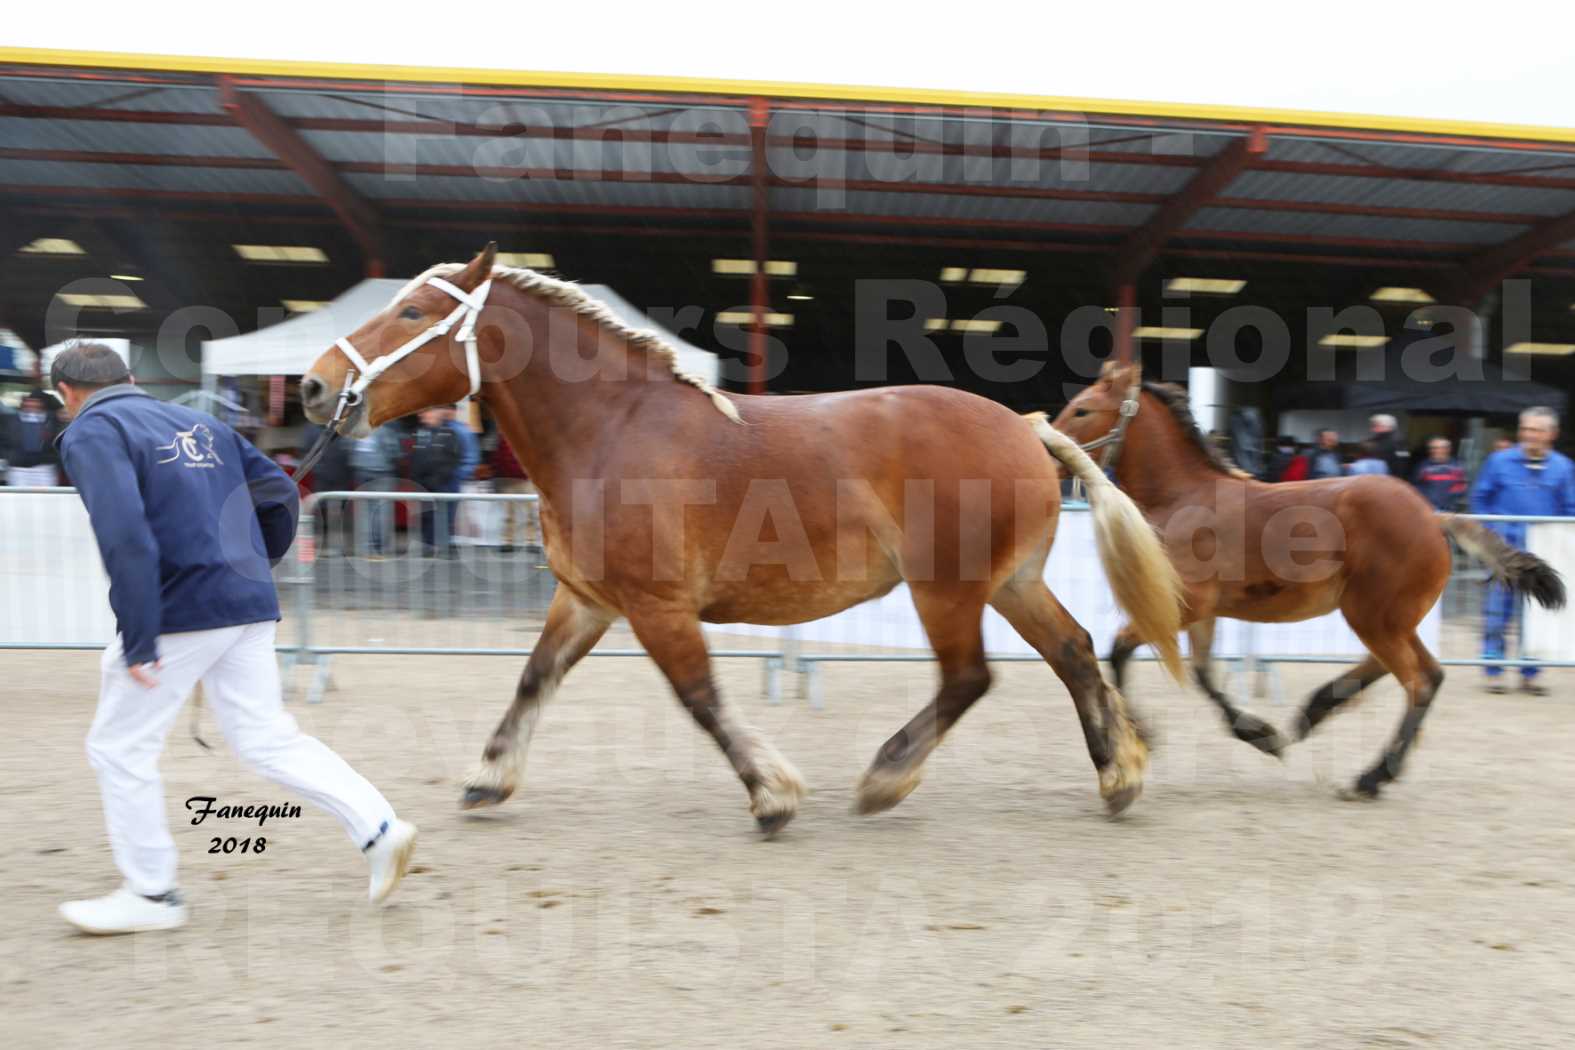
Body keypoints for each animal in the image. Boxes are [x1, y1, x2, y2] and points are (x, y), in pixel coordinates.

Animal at [297, 248, 1184, 837]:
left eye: (413, 313)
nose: (312, 385)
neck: (612, 429)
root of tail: (1026, 428)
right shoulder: (586, 601)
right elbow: (533, 678)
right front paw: (488, 778)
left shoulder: (656, 606)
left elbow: (699, 698)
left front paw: (772, 794)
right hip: (1011, 582)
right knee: (1072, 650)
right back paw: (1118, 775)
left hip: (947, 589)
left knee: (970, 677)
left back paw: (885, 779)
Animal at [1045, 362, 1562, 796]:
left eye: (1083, 409)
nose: (1045, 452)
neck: (1183, 496)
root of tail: (1434, 517)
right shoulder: (1203, 613)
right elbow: (1204, 674)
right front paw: (1262, 734)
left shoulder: (1184, 605)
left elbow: (1121, 651)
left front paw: (1151, 732)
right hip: (1387, 618)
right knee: (1417, 670)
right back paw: (1318, 712)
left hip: (1373, 615)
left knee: (1417, 680)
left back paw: (1372, 775)